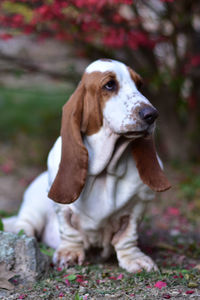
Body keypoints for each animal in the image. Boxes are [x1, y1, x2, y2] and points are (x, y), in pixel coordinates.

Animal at [3, 58, 170, 272]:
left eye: (139, 85)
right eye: (109, 85)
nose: (152, 114)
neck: (106, 170)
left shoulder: (139, 205)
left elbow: (127, 236)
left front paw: (135, 259)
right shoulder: (62, 209)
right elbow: (69, 231)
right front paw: (70, 254)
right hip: (34, 208)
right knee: (24, 225)